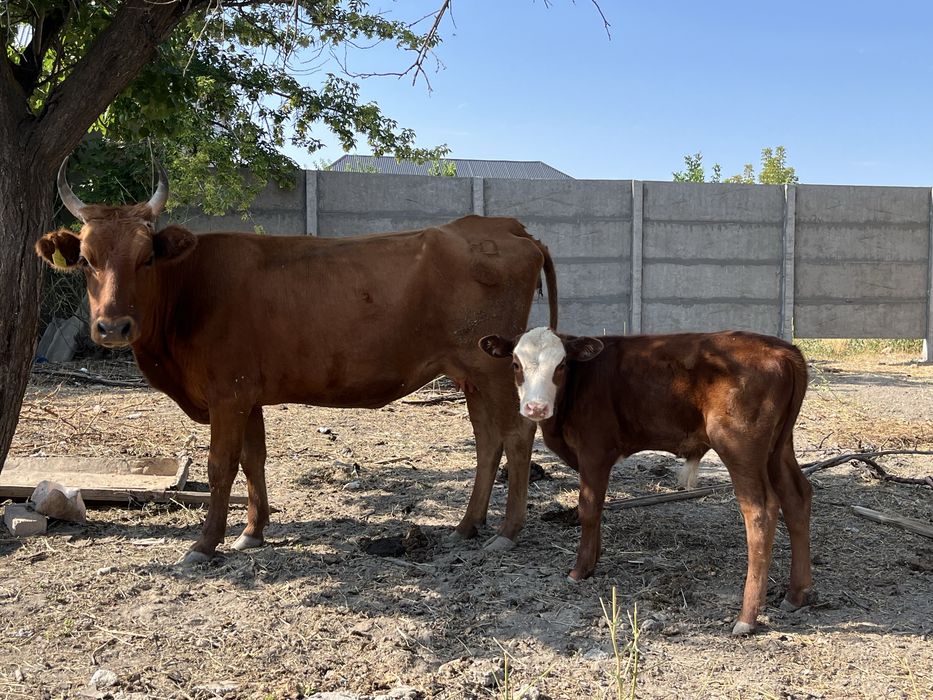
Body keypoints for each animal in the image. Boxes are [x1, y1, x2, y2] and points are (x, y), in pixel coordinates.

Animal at [36, 158, 558, 565]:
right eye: (86, 259)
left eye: (146, 258)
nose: (113, 327)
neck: (190, 289)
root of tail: (502, 225)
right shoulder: (247, 393)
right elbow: (254, 459)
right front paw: (252, 531)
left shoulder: (227, 394)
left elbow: (221, 465)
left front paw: (205, 543)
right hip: (470, 375)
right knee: (487, 440)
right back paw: (466, 526)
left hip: (492, 369)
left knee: (516, 436)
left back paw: (506, 534)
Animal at [480, 327, 813, 635]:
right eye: (516, 364)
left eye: (560, 365)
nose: (535, 408)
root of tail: (782, 349)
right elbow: (597, 506)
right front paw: (593, 561)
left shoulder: (595, 450)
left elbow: (588, 507)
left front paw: (579, 569)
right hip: (778, 448)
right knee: (797, 497)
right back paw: (796, 594)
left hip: (739, 447)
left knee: (760, 512)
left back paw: (747, 617)